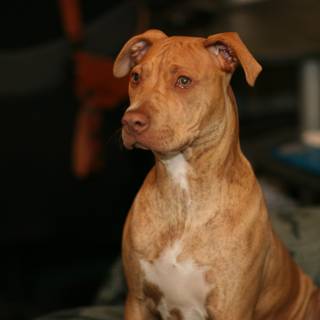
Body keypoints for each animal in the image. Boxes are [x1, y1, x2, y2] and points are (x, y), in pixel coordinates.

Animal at [112, 29, 320, 320]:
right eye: (135, 77)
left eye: (183, 81)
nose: (130, 121)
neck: (183, 192)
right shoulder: (137, 300)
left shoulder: (232, 307)